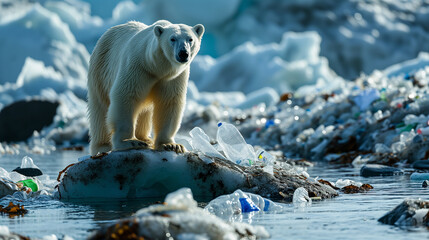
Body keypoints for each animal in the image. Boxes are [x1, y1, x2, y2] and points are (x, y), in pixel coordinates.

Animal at [87, 20, 204, 156]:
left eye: (190, 39)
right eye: (172, 39)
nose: (183, 53)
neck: (156, 67)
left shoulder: (173, 77)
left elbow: (169, 102)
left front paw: (171, 145)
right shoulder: (138, 68)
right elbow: (126, 96)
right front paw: (129, 142)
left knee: (144, 112)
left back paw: (145, 138)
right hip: (100, 70)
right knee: (100, 109)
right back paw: (102, 147)